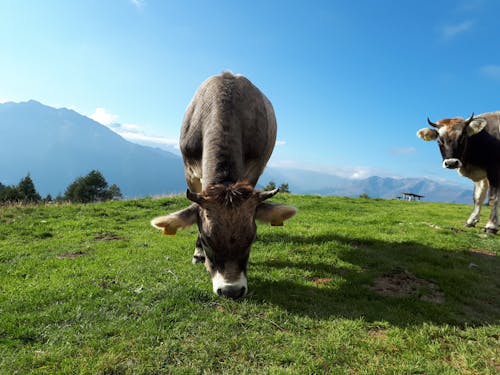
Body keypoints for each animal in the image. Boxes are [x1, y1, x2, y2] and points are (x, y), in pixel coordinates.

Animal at [150, 71, 294, 300]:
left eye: (252, 237)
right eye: (206, 239)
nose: (231, 291)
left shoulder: (253, 170)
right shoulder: (190, 172)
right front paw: (198, 253)